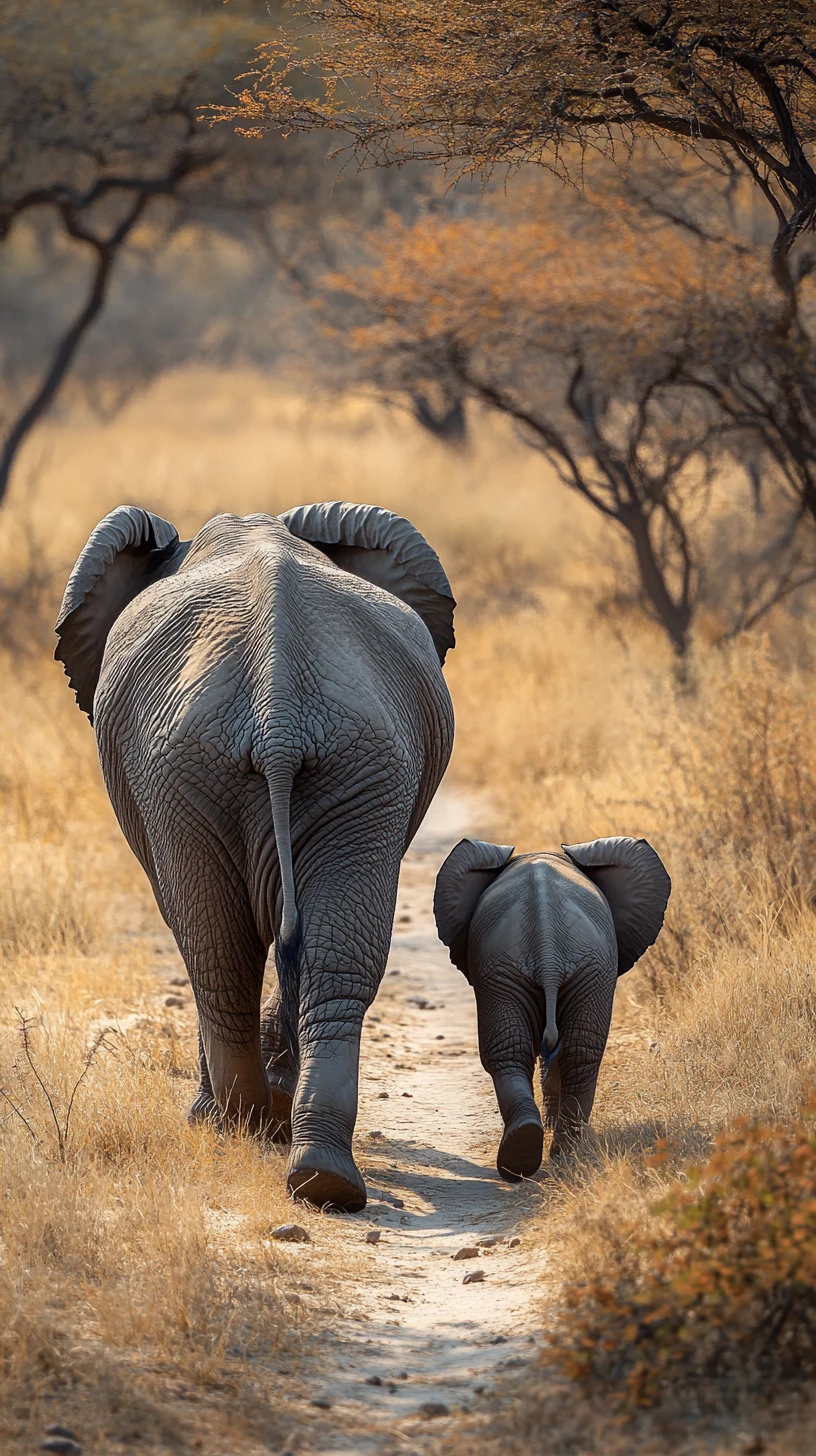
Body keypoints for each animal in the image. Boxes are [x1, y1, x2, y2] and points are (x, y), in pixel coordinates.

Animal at [55, 500, 455, 1212]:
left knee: (218, 950)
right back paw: (318, 1175)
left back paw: (237, 1125)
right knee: (325, 954)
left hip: (195, 767)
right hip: (346, 762)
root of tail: (278, 711)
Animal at [433, 836, 670, 1181]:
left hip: (576, 968)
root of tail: (548, 952)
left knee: (551, 1052)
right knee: (562, 1052)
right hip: (530, 969)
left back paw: (547, 1153)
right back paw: (551, 1153)